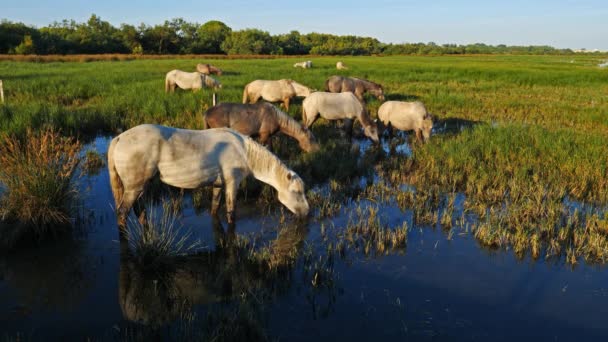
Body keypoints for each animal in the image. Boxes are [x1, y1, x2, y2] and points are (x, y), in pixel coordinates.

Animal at [107, 124, 312, 231]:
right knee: (123, 212)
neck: (244, 151)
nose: (306, 213)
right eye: (296, 192)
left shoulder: (218, 185)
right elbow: (231, 212)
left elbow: (214, 208)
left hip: (139, 186)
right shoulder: (232, 183)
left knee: (139, 209)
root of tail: (119, 139)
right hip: (134, 187)